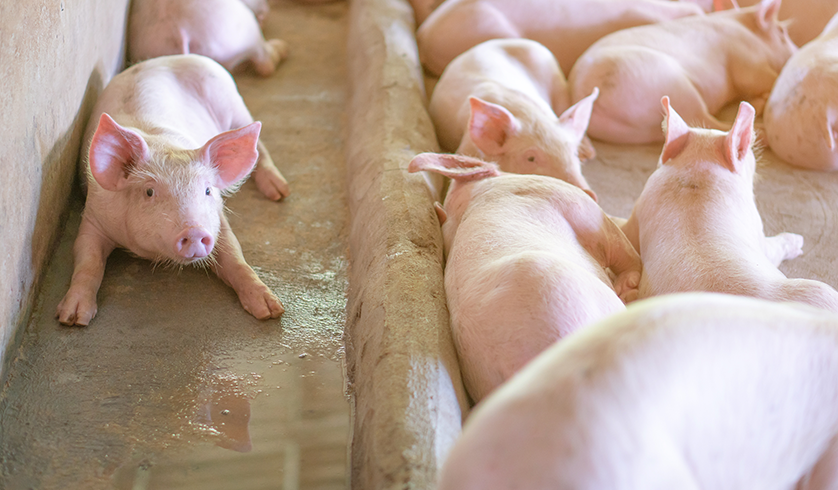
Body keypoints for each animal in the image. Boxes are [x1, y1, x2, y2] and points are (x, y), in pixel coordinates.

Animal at [56, 54, 289, 326]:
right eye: (149, 192)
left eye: (207, 190)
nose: (195, 231)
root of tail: (166, 57)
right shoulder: (93, 218)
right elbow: (87, 260)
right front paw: (72, 318)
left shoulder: (217, 220)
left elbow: (234, 254)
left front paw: (271, 311)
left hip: (235, 105)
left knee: (260, 146)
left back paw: (279, 192)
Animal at [429, 39, 599, 199]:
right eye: (530, 158)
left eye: (573, 154)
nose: (588, 193)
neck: (529, 115)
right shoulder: (467, 146)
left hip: (557, 81)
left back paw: (589, 153)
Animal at [569, 0, 797, 144]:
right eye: (782, 32)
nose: (796, 52)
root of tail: (583, 93)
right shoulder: (747, 58)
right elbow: (761, 79)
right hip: (673, 87)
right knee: (704, 121)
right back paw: (763, 133)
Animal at [621, 97, 838, 312]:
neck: (695, 176)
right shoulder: (755, 223)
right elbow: (772, 248)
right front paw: (798, 241)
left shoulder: (640, 207)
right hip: (822, 291)